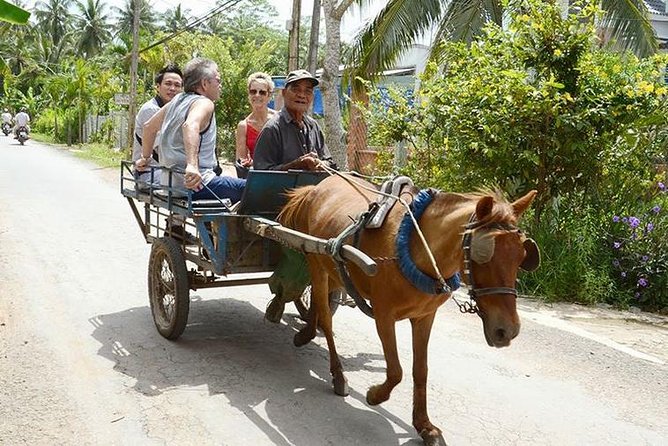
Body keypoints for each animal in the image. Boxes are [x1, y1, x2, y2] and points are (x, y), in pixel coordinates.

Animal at [280, 175, 540, 446]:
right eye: (483, 255)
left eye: (522, 255)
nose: (507, 331)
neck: (415, 249)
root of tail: (319, 185)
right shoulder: (384, 315)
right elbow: (396, 371)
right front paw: (375, 395)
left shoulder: (425, 317)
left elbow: (420, 370)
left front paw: (424, 425)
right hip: (316, 261)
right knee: (326, 317)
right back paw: (337, 373)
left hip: (335, 270)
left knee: (321, 303)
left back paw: (306, 330)